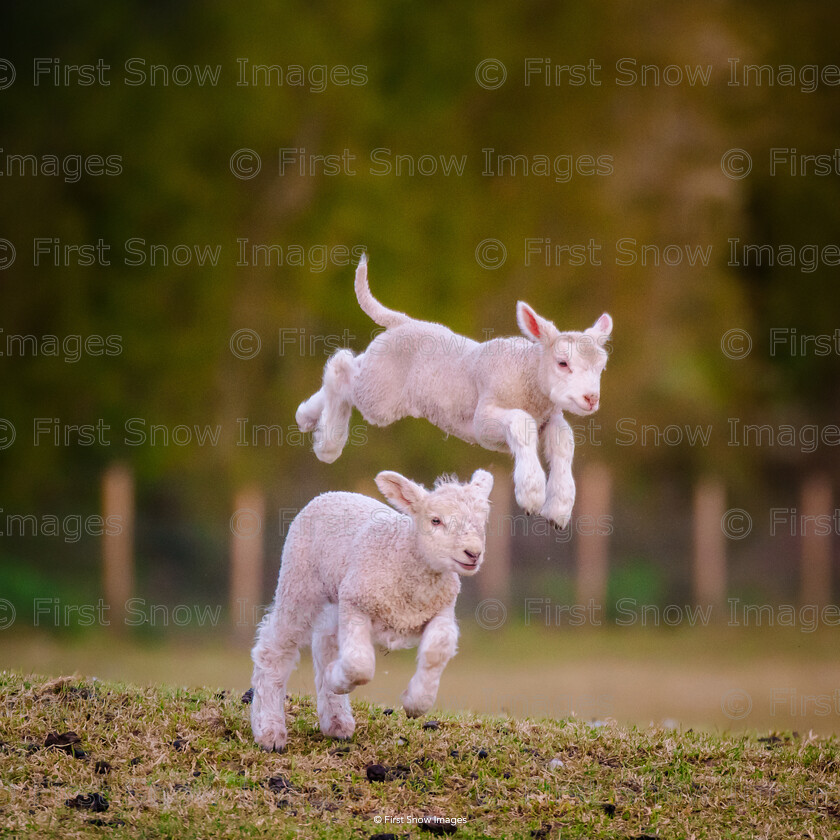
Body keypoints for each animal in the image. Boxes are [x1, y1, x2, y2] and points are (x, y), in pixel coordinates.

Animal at [249, 470, 492, 752]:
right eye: (436, 520)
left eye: (481, 521)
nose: (473, 553)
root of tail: (332, 493)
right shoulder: (357, 602)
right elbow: (359, 664)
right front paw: (335, 677)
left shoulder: (440, 610)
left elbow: (436, 652)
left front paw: (416, 702)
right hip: (300, 582)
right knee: (275, 648)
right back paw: (270, 731)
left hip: (336, 594)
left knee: (325, 642)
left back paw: (337, 722)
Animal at [296, 258, 612, 532]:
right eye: (562, 363)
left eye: (601, 366)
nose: (591, 399)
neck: (529, 374)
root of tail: (403, 322)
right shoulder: (484, 421)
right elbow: (522, 423)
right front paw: (531, 494)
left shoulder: (550, 418)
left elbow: (564, 442)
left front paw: (558, 510)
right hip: (380, 396)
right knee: (341, 368)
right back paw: (328, 444)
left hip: (377, 375)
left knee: (352, 365)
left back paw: (307, 417)